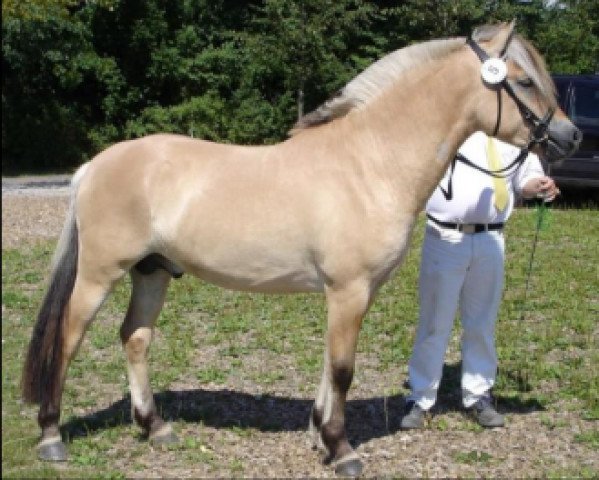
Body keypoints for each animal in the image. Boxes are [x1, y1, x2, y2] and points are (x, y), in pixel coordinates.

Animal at [23, 21, 580, 476]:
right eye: (523, 81)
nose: (570, 136)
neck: (370, 162)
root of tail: (93, 167)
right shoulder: (348, 289)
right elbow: (343, 369)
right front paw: (342, 450)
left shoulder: (353, 293)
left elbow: (330, 366)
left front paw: (319, 436)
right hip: (100, 273)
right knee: (68, 337)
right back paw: (51, 436)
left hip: (153, 271)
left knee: (135, 338)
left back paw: (155, 427)